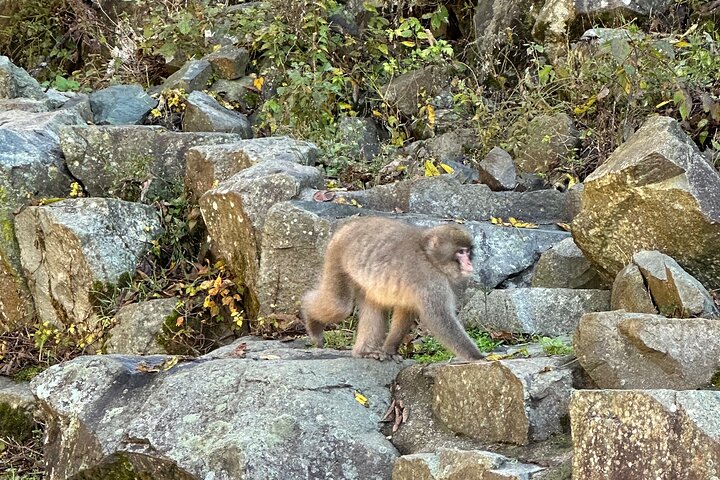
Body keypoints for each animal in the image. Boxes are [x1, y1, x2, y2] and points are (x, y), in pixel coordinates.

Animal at [302, 217, 483, 361]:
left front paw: (389, 349)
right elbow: (439, 319)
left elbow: (406, 309)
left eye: (468, 252)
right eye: (460, 252)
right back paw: (309, 316)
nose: (469, 263)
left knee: (373, 305)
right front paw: (477, 356)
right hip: (336, 256)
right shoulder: (430, 280)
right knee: (339, 306)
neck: (429, 257)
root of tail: (348, 226)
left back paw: (364, 352)